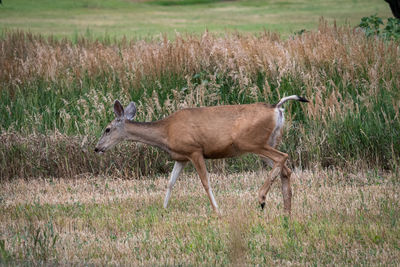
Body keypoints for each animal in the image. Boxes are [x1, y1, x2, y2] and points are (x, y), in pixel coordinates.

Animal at [95, 95, 308, 217]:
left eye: (107, 129)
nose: (97, 148)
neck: (166, 132)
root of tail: (276, 107)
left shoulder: (194, 150)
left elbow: (205, 182)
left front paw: (217, 211)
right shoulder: (181, 157)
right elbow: (170, 183)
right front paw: (163, 209)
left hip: (251, 142)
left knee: (283, 157)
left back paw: (262, 198)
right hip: (266, 142)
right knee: (286, 169)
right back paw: (287, 211)